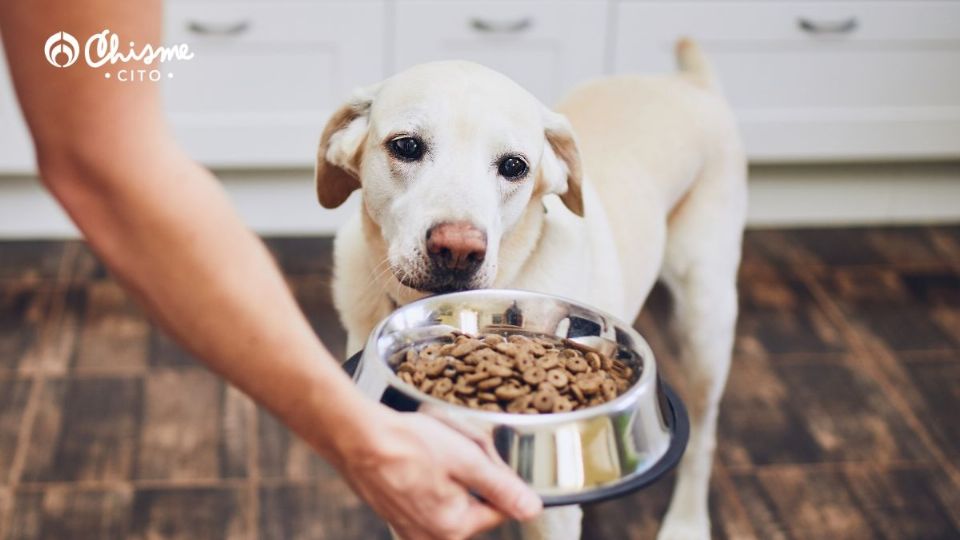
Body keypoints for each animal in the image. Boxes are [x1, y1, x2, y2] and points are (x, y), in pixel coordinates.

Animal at [318, 39, 748, 540]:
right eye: (405, 146)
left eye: (514, 166)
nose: (458, 250)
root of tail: (690, 82)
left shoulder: (552, 515)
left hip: (705, 323)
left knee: (703, 437)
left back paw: (687, 522)